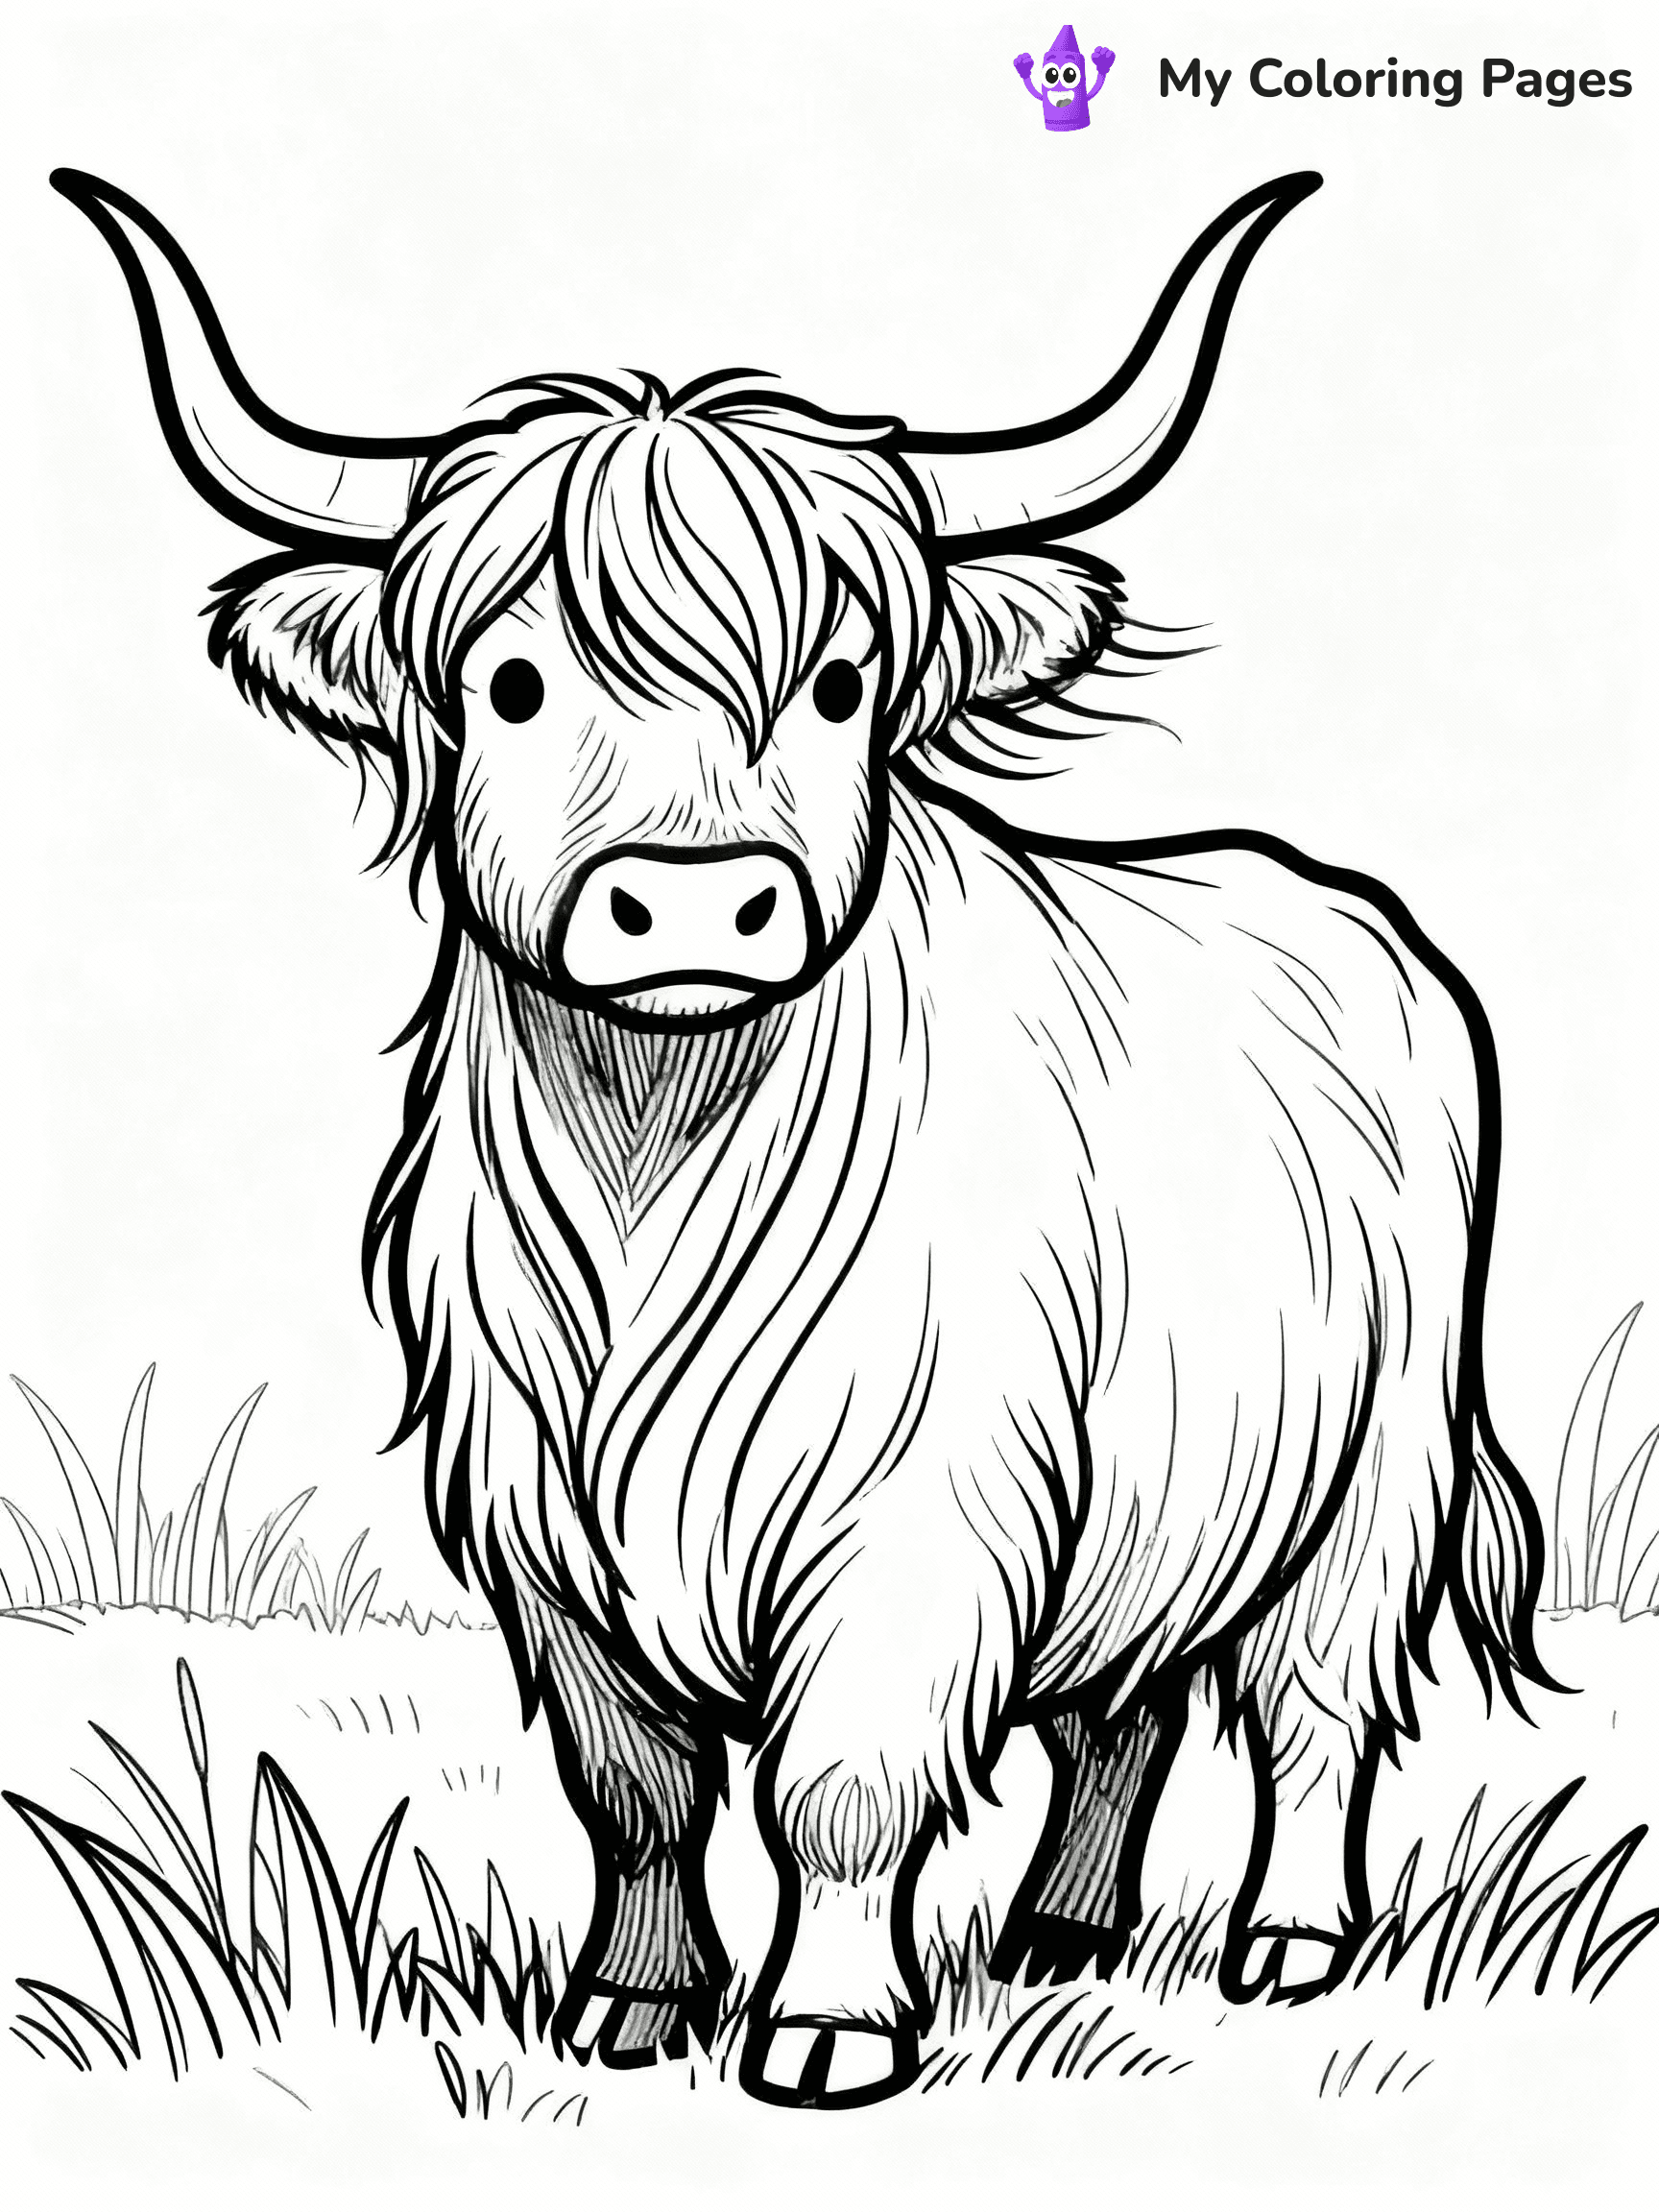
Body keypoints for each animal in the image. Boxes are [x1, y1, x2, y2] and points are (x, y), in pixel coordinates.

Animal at [53, 166, 1550, 2109]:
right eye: (511, 684)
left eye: (839, 686)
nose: (698, 899)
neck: (656, 1159)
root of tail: (1352, 916)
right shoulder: (547, 1534)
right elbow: (635, 1789)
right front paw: (631, 2006)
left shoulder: (923, 1510)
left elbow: (839, 1785)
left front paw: (825, 2026)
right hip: (1160, 1466)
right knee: (1124, 1703)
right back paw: (1060, 1931)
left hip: (1374, 1463)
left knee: (1311, 1699)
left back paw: (1287, 1944)